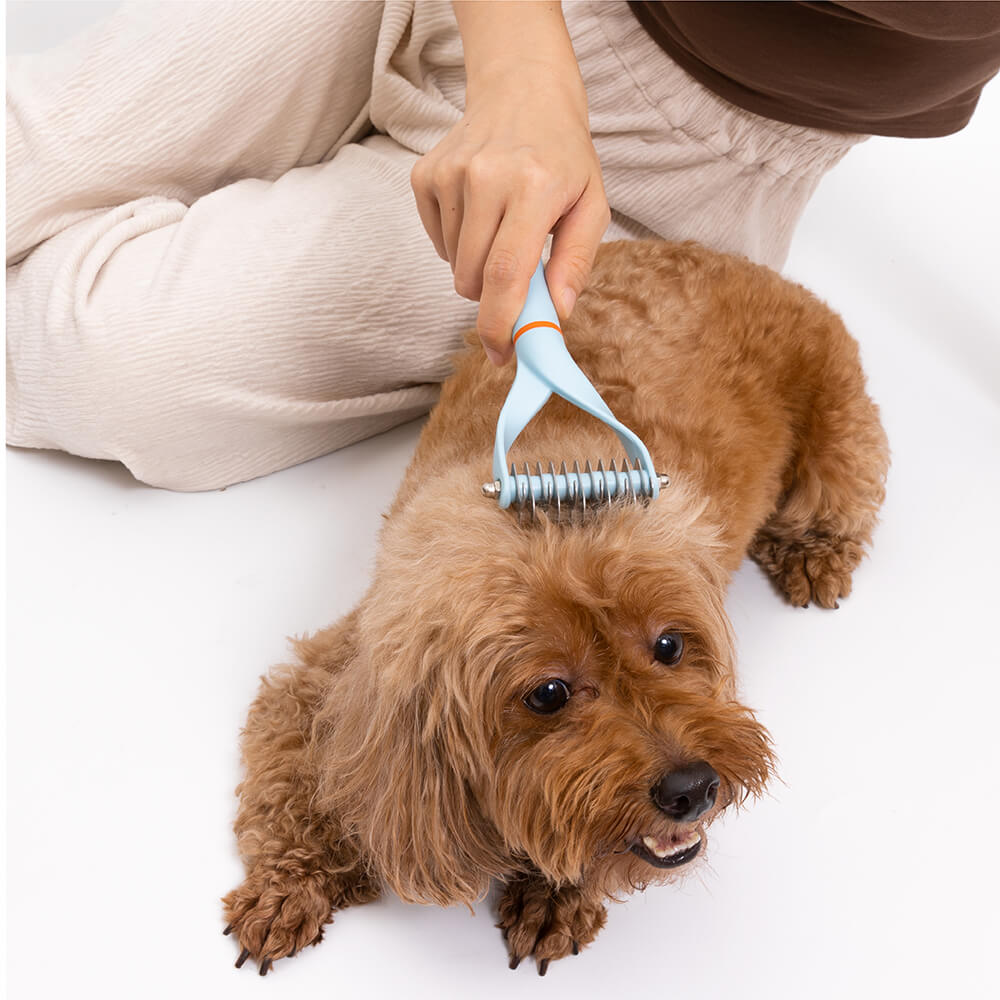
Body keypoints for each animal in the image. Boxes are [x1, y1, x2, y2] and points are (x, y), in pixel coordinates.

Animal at [223, 240, 888, 976]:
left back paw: (812, 551)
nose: (692, 787)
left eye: (669, 645)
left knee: (838, 490)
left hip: (840, 426)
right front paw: (287, 885)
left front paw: (555, 895)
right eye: (548, 693)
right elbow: (294, 781)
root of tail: (729, 258)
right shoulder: (329, 680)